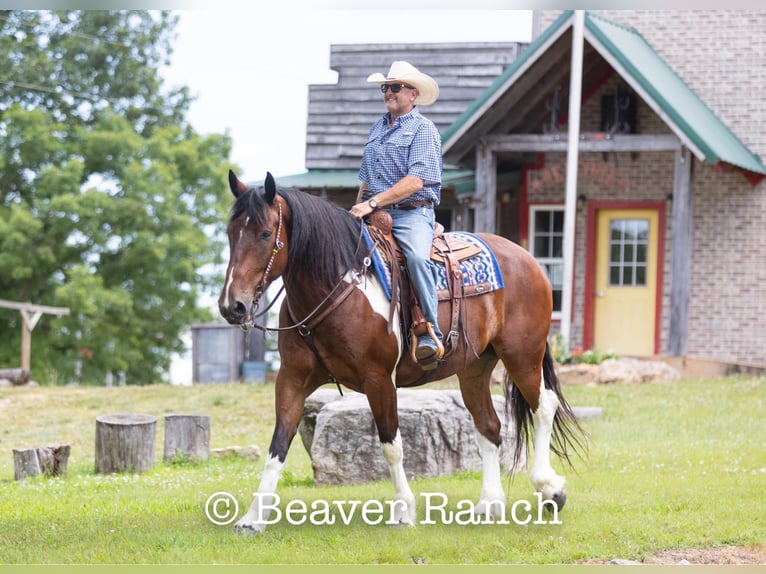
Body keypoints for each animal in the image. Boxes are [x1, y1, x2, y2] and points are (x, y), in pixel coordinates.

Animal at [218, 170, 584, 533]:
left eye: (265, 233)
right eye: (230, 232)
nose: (232, 305)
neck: (338, 286)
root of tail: (527, 259)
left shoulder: (379, 380)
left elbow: (391, 445)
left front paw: (403, 510)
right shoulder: (292, 379)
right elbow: (277, 446)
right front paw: (253, 517)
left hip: (523, 356)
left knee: (544, 407)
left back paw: (550, 489)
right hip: (475, 368)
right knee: (489, 427)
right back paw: (488, 505)